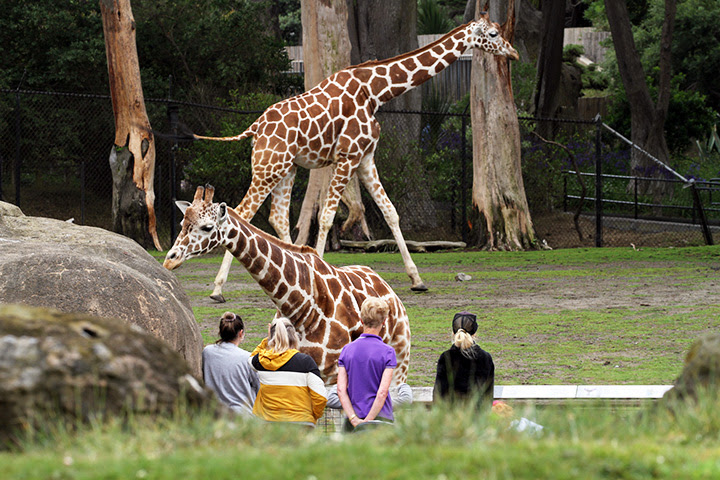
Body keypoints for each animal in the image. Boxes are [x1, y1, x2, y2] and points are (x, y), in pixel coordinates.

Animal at [165, 185, 410, 386]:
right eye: (182, 223)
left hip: (400, 363)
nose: (170, 259)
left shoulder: (329, 373)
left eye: (207, 227)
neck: (297, 305)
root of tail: (387, 287)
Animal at [186, 12, 516, 300]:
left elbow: (390, 212)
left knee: (277, 216)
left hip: (286, 169)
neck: (376, 91)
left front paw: (417, 279)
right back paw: (218, 289)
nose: (513, 53)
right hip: (268, 167)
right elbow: (327, 216)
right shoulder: (347, 156)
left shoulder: (366, 157)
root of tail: (254, 128)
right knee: (242, 212)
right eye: (493, 34)